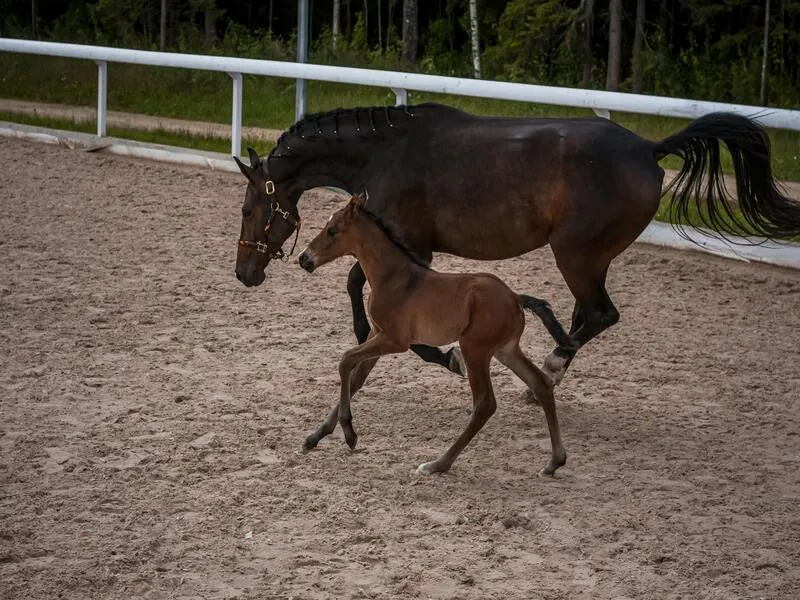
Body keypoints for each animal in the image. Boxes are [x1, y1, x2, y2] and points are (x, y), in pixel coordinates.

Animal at [234, 103, 800, 382]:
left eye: (247, 209)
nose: (244, 272)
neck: (385, 153)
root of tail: (647, 147)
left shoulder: (412, 246)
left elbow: (358, 283)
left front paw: (439, 356)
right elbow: (358, 284)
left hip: (576, 254)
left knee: (600, 314)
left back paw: (552, 366)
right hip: (591, 259)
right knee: (585, 314)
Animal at [296, 195, 572, 476]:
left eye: (332, 231)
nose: (303, 258)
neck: (394, 277)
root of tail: (516, 298)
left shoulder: (394, 340)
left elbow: (345, 360)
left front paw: (349, 433)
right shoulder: (378, 333)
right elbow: (355, 379)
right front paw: (315, 436)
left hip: (475, 349)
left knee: (485, 404)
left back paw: (438, 463)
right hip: (506, 350)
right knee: (541, 384)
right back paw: (554, 461)